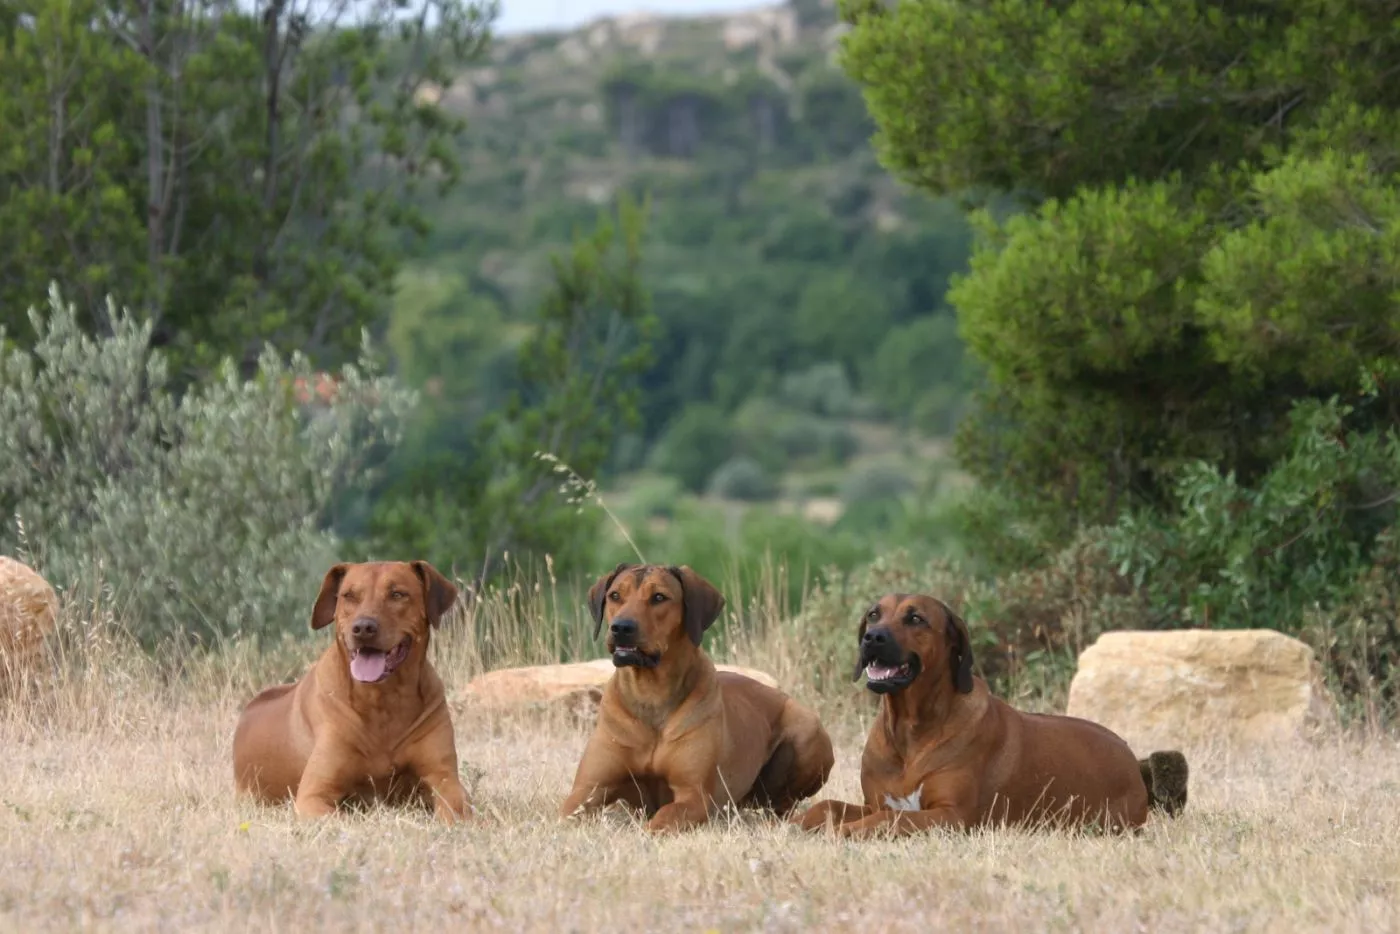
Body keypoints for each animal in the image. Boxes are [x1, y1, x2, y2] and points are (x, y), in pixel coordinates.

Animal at [226, 560, 473, 823]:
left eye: (397, 594)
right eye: (349, 596)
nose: (363, 627)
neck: (384, 700)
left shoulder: (445, 777)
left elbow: (455, 806)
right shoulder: (313, 794)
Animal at [557, 562, 828, 834]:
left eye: (659, 597)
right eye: (615, 595)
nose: (621, 627)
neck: (650, 694)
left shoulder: (694, 797)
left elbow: (663, 817)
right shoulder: (586, 790)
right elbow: (567, 812)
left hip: (807, 729)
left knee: (785, 803)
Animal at [795, 596, 1187, 845]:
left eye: (915, 618)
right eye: (874, 614)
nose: (871, 637)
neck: (910, 728)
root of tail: (1133, 759)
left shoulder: (952, 817)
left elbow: (892, 819)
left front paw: (847, 831)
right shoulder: (877, 801)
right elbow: (828, 805)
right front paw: (798, 821)